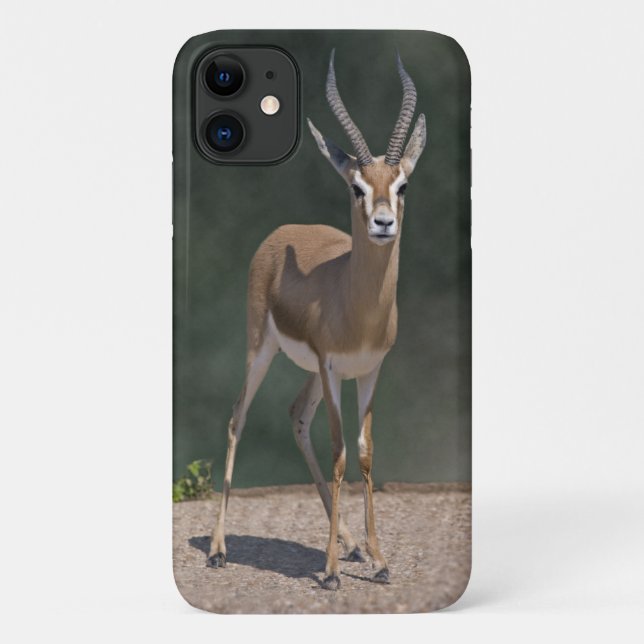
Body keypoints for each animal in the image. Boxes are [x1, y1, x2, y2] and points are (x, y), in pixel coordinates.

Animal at [207, 50, 426, 590]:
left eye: (402, 184)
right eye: (356, 187)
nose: (384, 223)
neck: (357, 305)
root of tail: (283, 231)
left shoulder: (368, 370)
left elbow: (364, 453)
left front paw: (379, 560)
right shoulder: (331, 368)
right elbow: (339, 450)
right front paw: (328, 572)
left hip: (312, 373)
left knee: (295, 415)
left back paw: (351, 546)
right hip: (262, 349)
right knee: (238, 417)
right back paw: (219, 549)